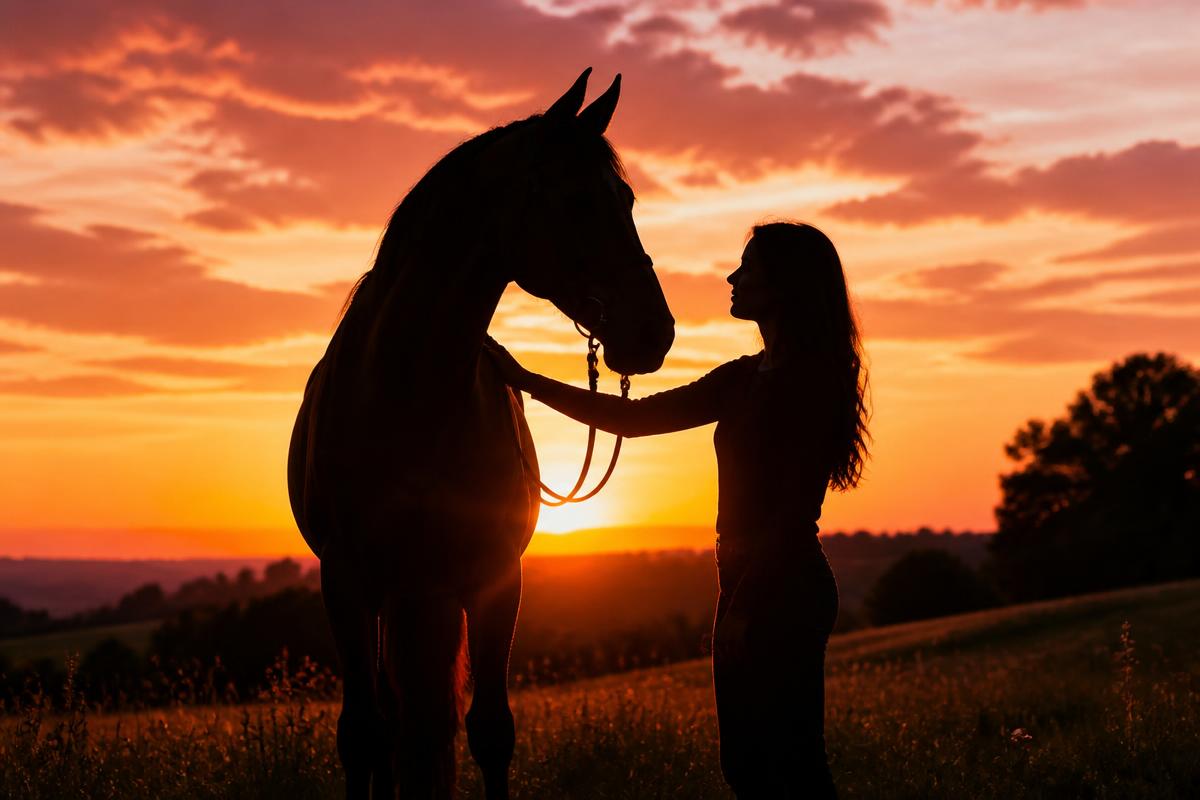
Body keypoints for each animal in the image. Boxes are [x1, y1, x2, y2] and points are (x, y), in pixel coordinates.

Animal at [287, 69, 675, 799]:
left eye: (629, 198)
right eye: (577, 199)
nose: (654, 331)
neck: (409, 394)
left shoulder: (495, 579)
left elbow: (492, 731)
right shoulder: (346, 580)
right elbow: (362, 737)